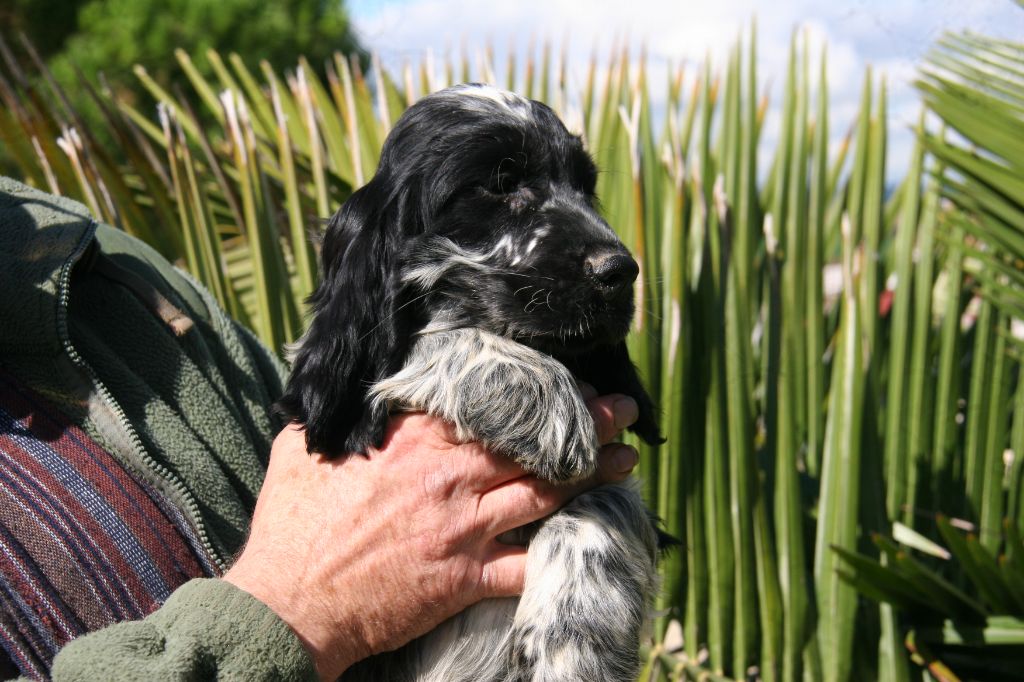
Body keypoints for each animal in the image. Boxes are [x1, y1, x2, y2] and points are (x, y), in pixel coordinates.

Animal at [278, 82, 663, 675]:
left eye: (587, 188)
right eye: (500, 185)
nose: (620, 272)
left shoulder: (614, 472)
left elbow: (600, 504)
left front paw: (576, 640)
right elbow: (426, 342)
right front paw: (538, 393)